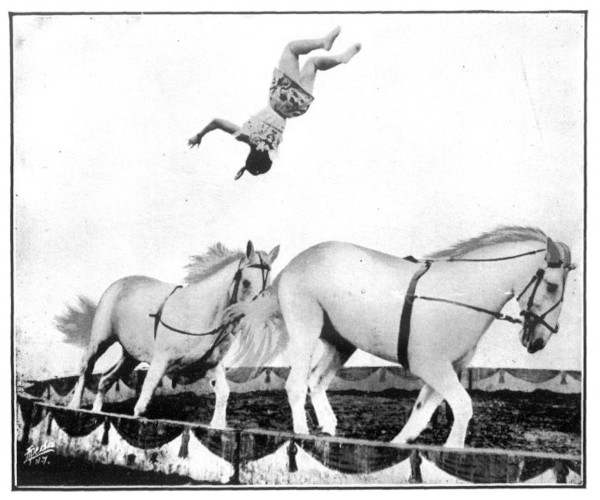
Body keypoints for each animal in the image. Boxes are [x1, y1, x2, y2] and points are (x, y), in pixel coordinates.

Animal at [69, 240, 280, 428]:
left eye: (269, 285)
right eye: (246, 282)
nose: (258, 316)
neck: (201, 314)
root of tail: (118, 284)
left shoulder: (212, 364)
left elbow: (223, 393)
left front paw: (217, 425)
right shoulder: (161, 360)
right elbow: (144, 400)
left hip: (130, 356)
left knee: (105, 378)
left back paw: (96, 412)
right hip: (101, 340)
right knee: (86, 367)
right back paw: (74, 406)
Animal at [225, 227, 576, 446]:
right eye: (552, 285)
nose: (538, 342)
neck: (460, 294)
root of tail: (292, 266)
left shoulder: (447, 369)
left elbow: (422, 413)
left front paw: (400, 446)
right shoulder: (431, 366)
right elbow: (463, 406)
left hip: (341, 343)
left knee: (316, 381)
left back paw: (329, 429)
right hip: (305, 331)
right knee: (296, 385)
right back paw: (303, 436)